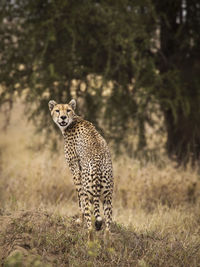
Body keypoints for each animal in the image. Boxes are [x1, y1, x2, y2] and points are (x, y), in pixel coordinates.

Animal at [48, 100, 113, 237]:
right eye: (57, 110)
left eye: (68, 110)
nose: (63, 117)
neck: (73, 120)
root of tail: (98, 165)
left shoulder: (76, 170)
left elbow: (79, 200)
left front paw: (79, 220)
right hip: (108, 195)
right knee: (108, 228)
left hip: (88, 190)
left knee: (90, 225)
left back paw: (88, 236)